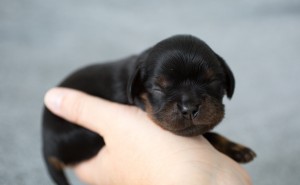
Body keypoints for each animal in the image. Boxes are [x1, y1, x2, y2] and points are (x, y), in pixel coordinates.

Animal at [42, 34, 255, 184]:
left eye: (212, 82)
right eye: (159, 88)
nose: (189, 108)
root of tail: (46, 148)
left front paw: (236, 148)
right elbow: (209, 135)